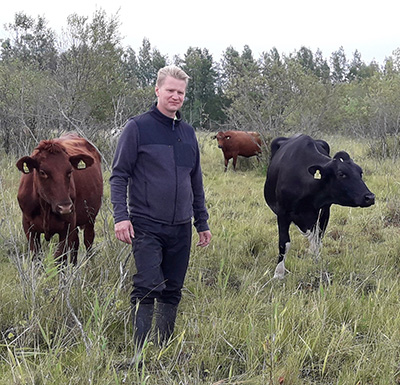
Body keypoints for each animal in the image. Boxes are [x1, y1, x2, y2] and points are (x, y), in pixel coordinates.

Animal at [15, 133, 103, 264]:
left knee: (88, 242)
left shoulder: (67, 226)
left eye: (70, 171)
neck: (45, 207)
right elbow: (36, 257)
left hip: (90, 218)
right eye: (43, 172)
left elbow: (59, 258)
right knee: (76, 244)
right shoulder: (28, 227)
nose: (65, 207)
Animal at [264, 134, 374, 278]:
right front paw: (278, 273)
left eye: (360, 172)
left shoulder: (325, 211)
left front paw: (316, 261)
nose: (370, 197)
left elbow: (318, 238)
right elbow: (284, 243)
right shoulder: (282, 213)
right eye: (341, 174)